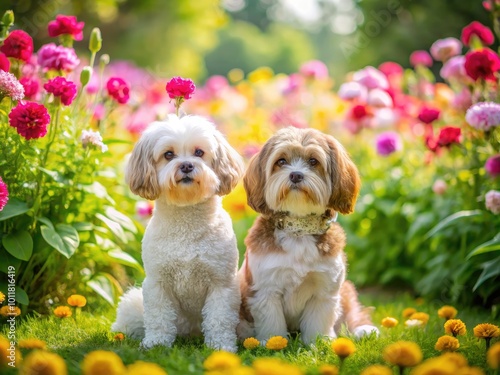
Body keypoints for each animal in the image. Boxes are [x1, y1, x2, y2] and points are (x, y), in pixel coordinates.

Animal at [114, 114, 246, 352]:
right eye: (168, 154)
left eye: (199, 152)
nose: (186, 165)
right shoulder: (157, 283)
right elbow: (159, 317)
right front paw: (156, 343)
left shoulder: (222, 284)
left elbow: (219, 319)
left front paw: (221, 346)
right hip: (133, 304)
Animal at [236, 128, 376, 346]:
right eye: (281, 161)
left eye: (313, 161)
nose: (295, 174)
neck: (299, 229)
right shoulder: (266, 288)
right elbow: (271, 322)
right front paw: (273, 343)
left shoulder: (325, 288)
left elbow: (318, 321)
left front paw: (318, 343)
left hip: (345, 290)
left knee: (352, 313)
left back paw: (364, 329)